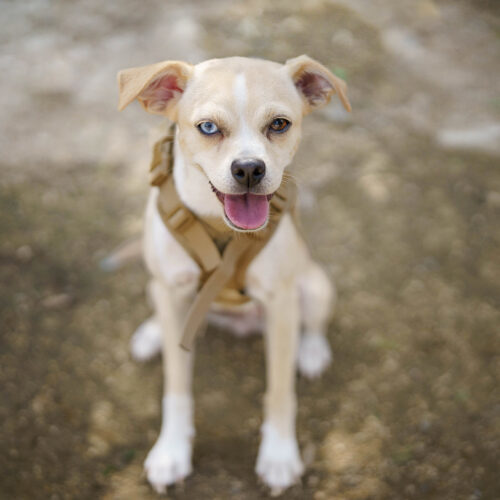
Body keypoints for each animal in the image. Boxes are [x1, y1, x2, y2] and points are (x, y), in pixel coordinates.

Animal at [117, 56, 352, 494]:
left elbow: (280, 391)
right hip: (158, 287)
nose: (248, 169)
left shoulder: (281, 304)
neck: (218, 225)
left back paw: (312, 352)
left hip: (314, 285)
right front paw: (171, 452)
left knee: (313, 324)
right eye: (208, 127)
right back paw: (152, 333)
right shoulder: (172, 289)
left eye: (279, 124)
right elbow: (177, 386)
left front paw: (279, 456)